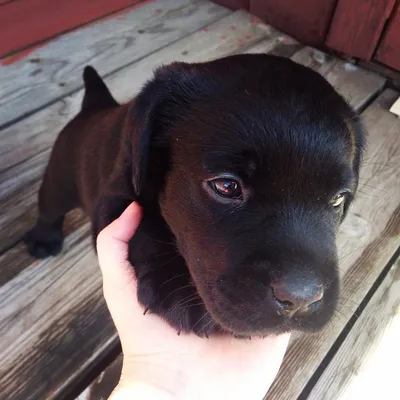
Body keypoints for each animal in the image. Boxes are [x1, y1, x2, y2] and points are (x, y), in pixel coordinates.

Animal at [23, 54, 364, 338]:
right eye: (226, 186)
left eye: (338, 199)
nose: (300, 299)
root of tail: (93, 108)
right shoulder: (117, 195)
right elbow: (146, 224)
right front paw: (173, 284)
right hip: (59, 180)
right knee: (49, 208)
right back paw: (43, 239)